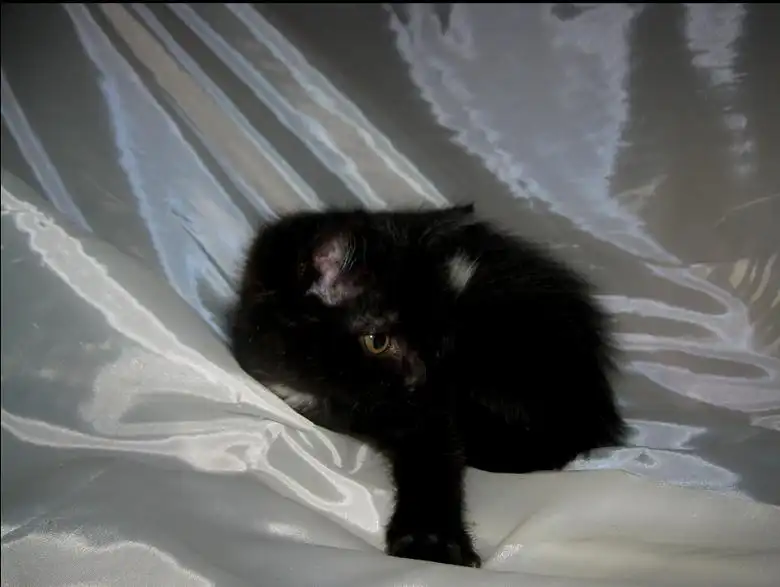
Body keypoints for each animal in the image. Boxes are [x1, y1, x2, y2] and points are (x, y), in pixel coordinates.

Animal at [228, 204, 626, 568]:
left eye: (439, 336)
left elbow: (435, 458)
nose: (420, 376)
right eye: (378, 342)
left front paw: (431, 543)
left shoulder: (431, 408)